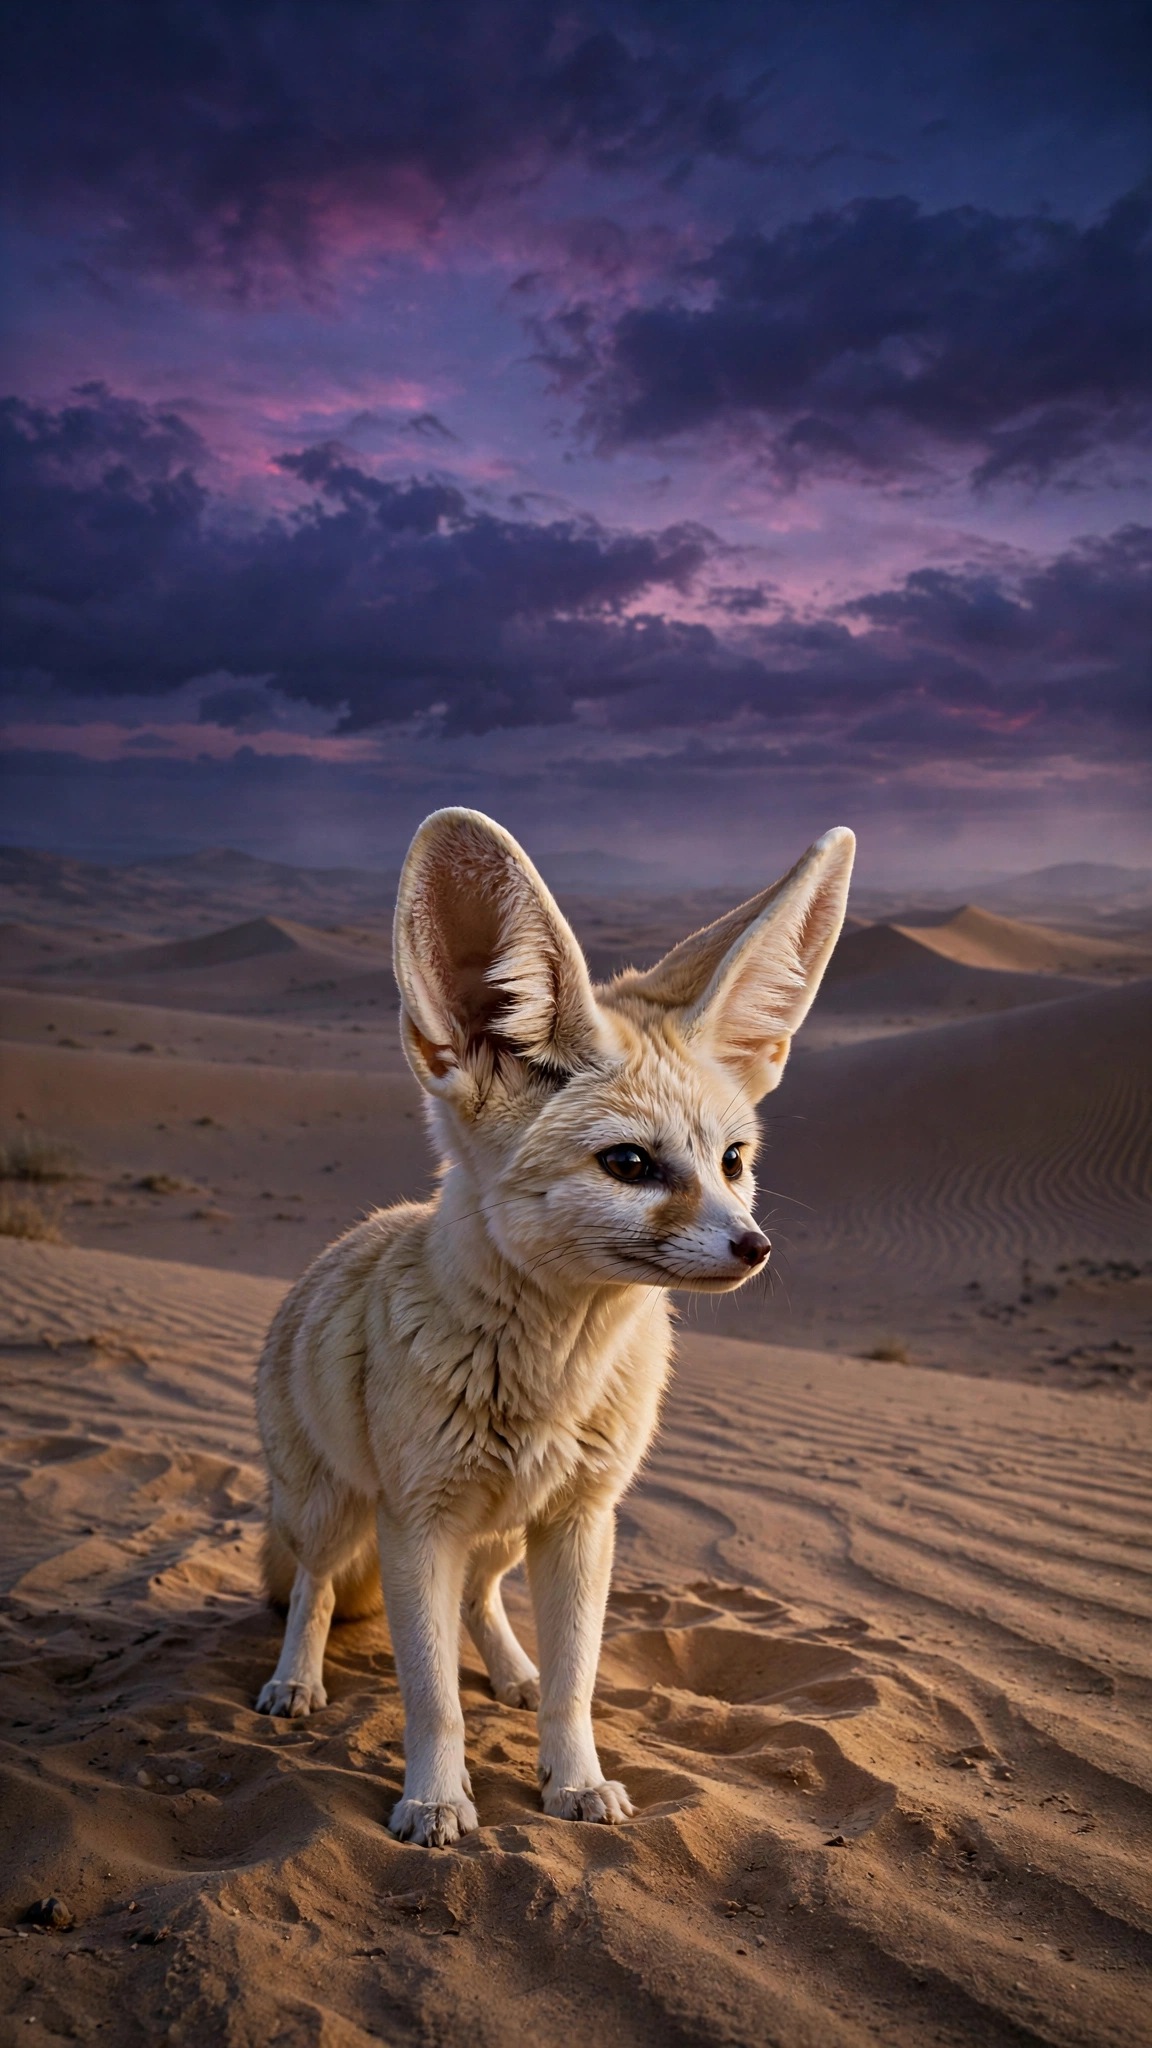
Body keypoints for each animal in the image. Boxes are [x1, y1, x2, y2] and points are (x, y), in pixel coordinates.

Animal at [255, 806, 855, 1847]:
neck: (551, 1376)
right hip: (334, 1513)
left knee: (481, 1600)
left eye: (733, 1160)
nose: (755, 1247)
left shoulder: (582, 1519)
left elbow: (577, 1681)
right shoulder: (418, 1524)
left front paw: (575, 1781)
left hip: (502, 1534)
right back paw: (298, 1680)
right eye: (630, 1164)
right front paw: (435, 1800)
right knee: (317, 1592)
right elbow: (428, 1695)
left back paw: (511, 1671)